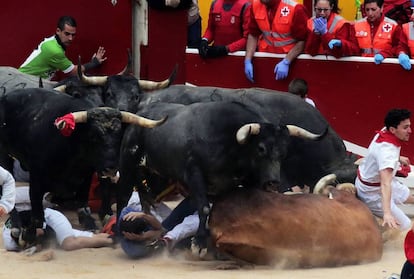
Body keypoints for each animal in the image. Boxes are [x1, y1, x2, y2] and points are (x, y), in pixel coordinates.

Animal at [0, 89, 165, 241]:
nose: (111, 168)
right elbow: (37, 217)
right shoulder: (36, 178)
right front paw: (28, 234)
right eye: (93, 137)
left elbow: (84, 206)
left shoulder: (86, 174)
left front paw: (91, 223)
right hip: (4, 157)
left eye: (119, 137)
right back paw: (16, 225)